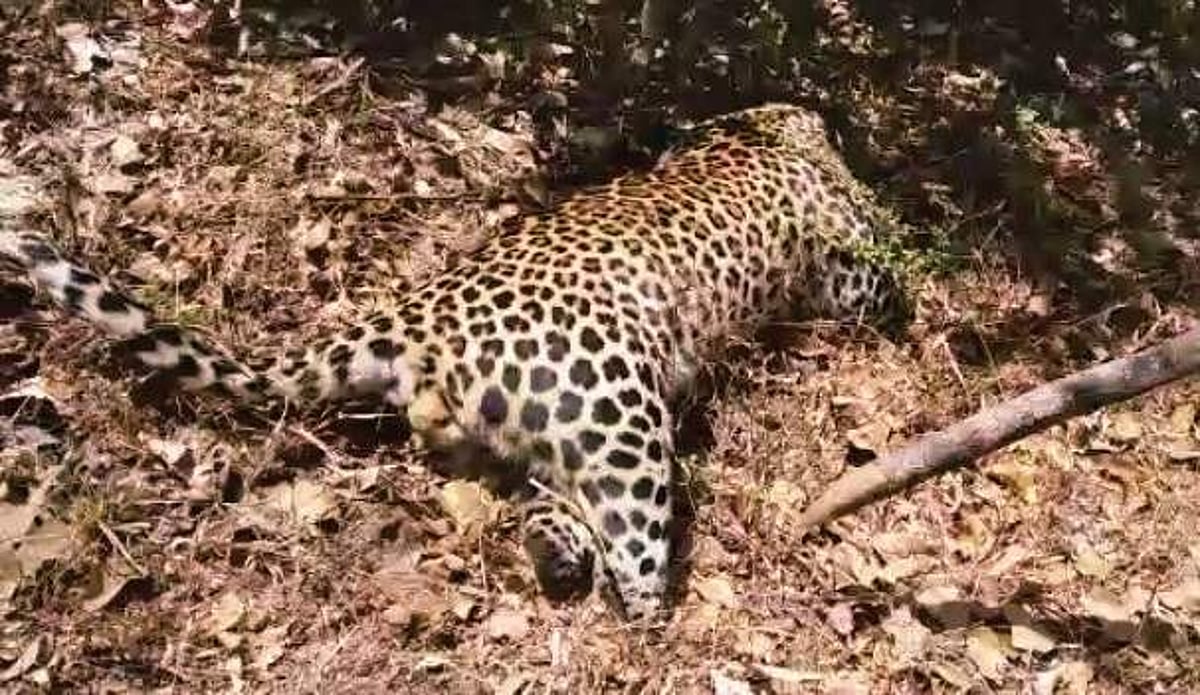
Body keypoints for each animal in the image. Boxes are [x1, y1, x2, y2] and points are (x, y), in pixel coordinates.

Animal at [1, 103, 910, 621]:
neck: (765, 133)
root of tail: (417, 318)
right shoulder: (848, 265)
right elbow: (886, 286)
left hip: (559, 426)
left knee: (552, 511)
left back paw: (555, 559)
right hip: (617, 417)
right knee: (635, 564)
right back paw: (649, 625)